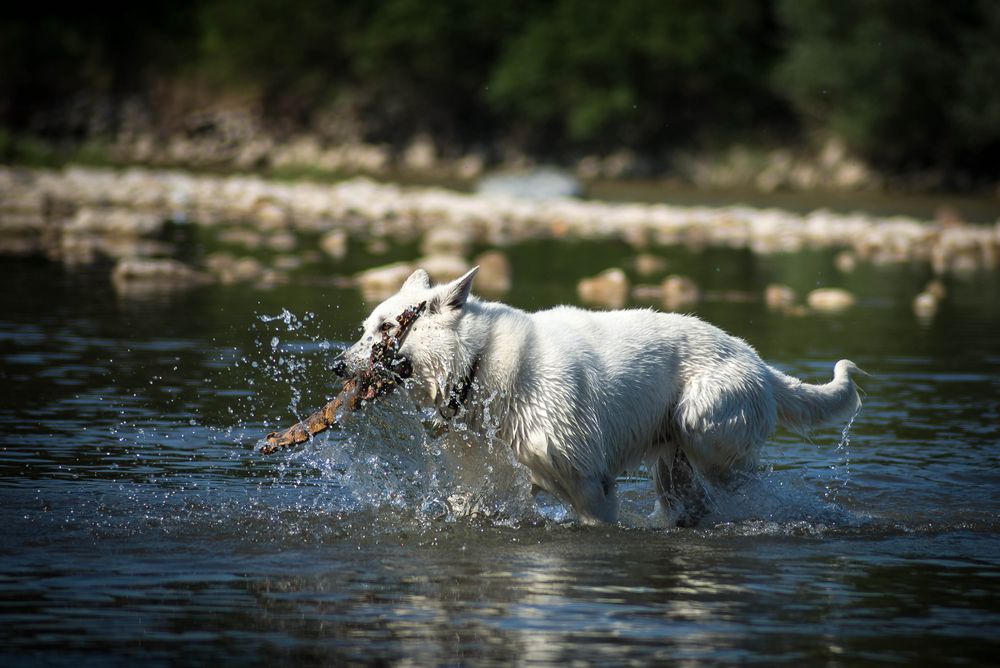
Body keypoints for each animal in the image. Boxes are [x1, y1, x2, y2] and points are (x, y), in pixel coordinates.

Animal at [334, 268, 860, 528]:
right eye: (364, 327)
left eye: (388, 327)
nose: (337, 367)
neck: (479, 363)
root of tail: (761, 366)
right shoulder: (488, 481)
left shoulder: (589, 482)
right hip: (674, 466)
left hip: (704, 428)